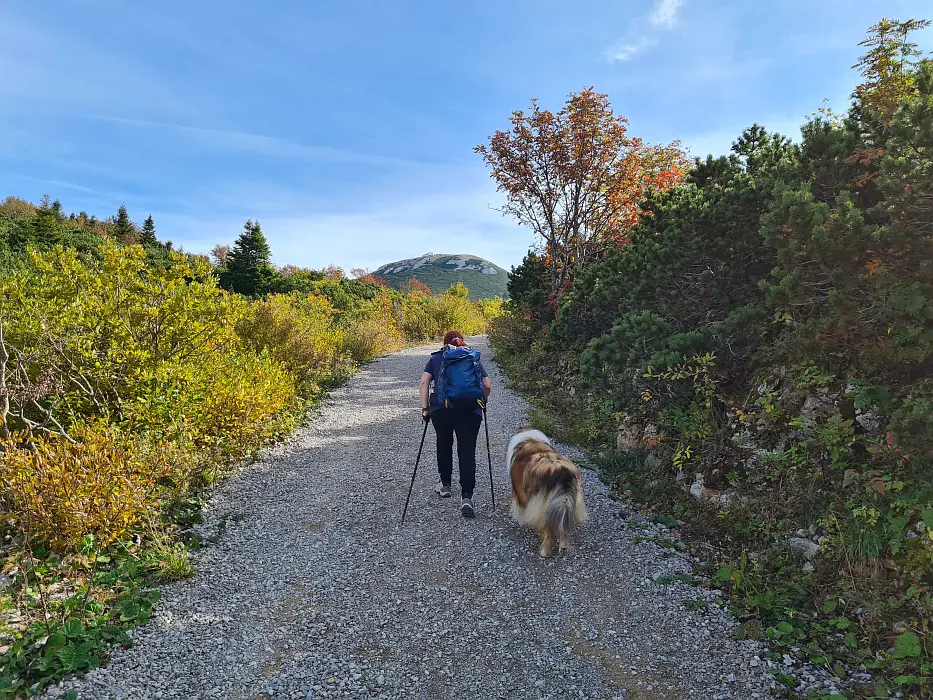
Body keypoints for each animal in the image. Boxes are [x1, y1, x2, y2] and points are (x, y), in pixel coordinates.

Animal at [506, 426, 588, 556]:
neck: (531, 440)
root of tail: (562, 472)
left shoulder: (519, 491)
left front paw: (520, 520)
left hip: (544, 507)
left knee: (547, 530)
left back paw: (544, 552)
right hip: (568, 504)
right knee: (563, 529)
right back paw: (563, 547)